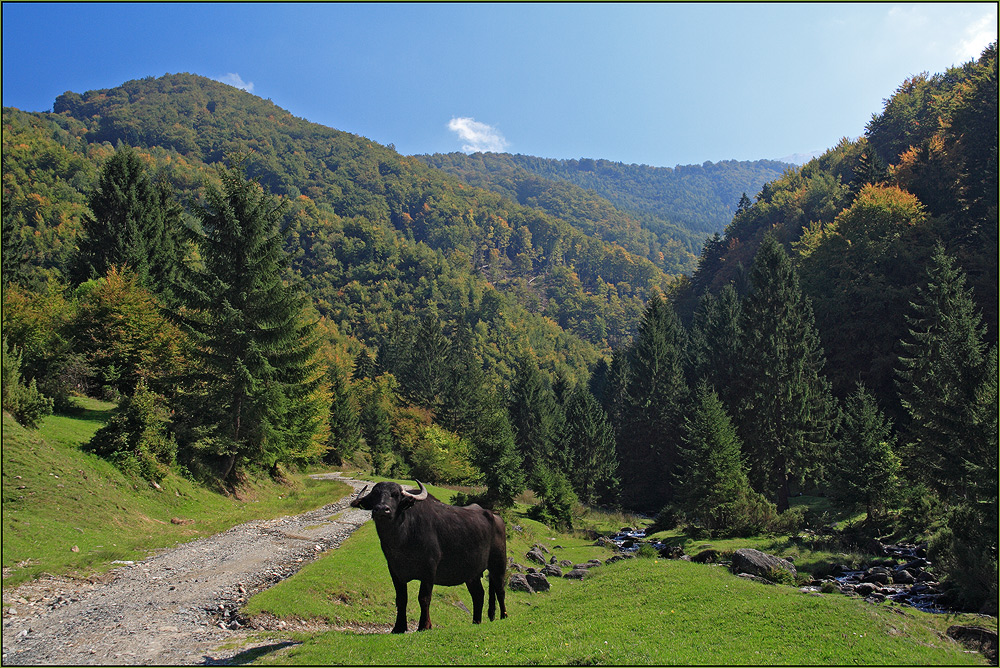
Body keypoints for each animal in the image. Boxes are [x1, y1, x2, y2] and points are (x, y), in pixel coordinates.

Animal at [350, 480, 508, 632]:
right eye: (375, 495)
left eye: (395, 494)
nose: (383, 509)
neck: (402, 537)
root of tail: (496, 517)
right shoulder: (394, 570)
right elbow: (401, 599)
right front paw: (398, 627)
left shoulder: (429, 569)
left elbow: (424, 598)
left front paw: (424, 625)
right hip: (472, 573)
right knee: (478, 595)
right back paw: (476, 621)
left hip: (498, 564)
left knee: (500, 590)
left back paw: (503, 616)